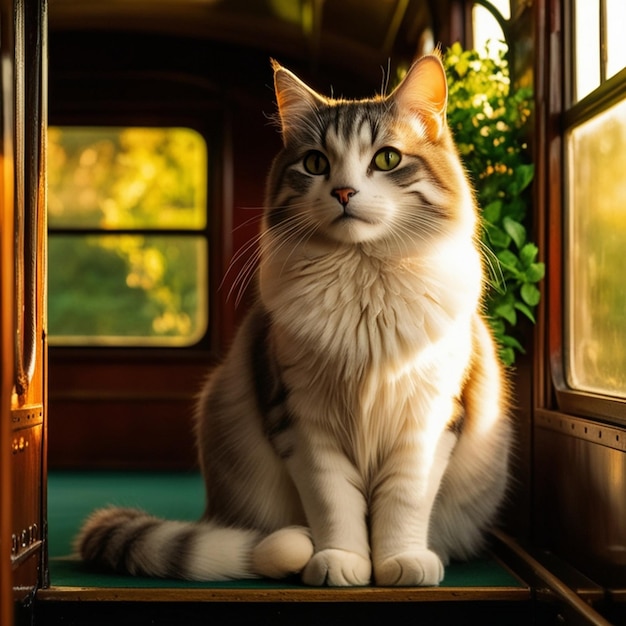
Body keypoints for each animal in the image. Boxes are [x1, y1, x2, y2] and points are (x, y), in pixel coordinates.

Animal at [75, 53, 510, 584]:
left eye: (387, 159)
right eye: (316, 163)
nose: (343, 192)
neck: (363, 284)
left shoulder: (430, 421)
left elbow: (402, 503)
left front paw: (399, 562)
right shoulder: (302, 420)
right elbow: (334, 503)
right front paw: (342, 562)